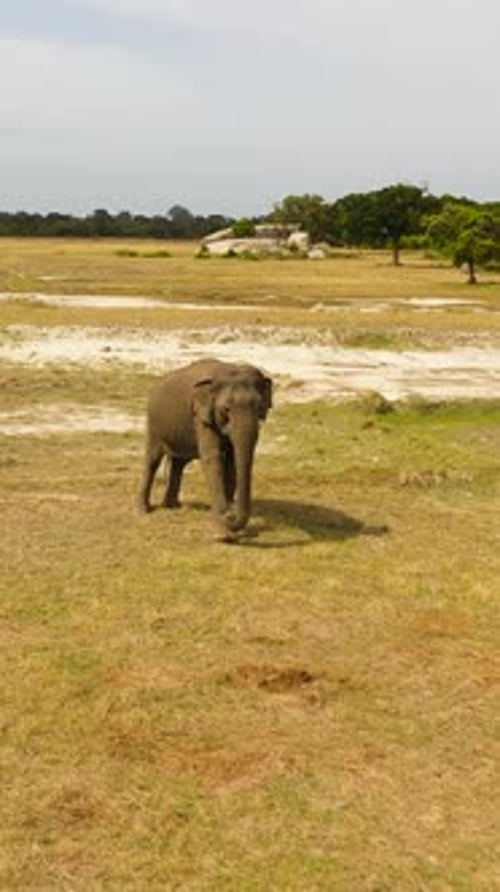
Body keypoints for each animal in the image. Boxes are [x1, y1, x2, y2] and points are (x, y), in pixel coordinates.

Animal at [138, 358, 273, 540]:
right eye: (226, 409)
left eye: (259, 407)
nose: (230, 514)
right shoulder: (200, 416)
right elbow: (212, 458)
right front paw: (223, 535)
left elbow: (231, 462)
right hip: (154, 424)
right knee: (153, 461)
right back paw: (143, 510)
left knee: (179, 463)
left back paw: (171, 506)